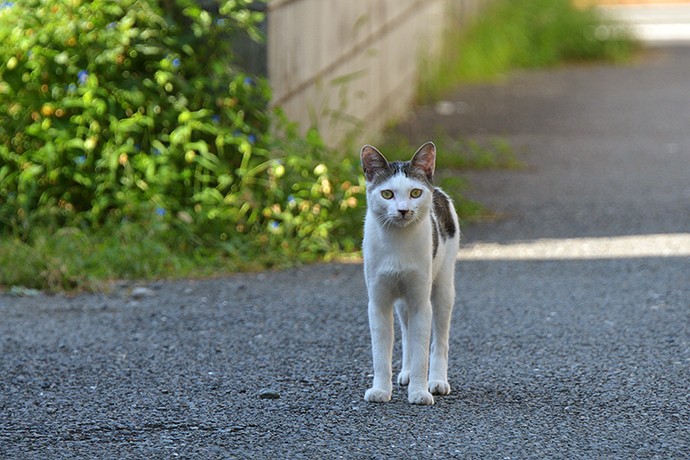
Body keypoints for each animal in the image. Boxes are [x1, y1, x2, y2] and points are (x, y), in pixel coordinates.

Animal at [358, 142, 460, 404]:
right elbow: (381, 354)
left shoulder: (421, 302)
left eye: (415, 193)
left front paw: (419, 392)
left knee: (439, 341)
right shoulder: (378, 302)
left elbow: (422, 351)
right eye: (387, 194)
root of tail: (437, 189)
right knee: (406, 335)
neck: (398, 243)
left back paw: (437, 381)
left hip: (442, 288)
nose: (403, 210)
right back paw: (405, 373)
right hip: (403, 300)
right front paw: (381, 390)